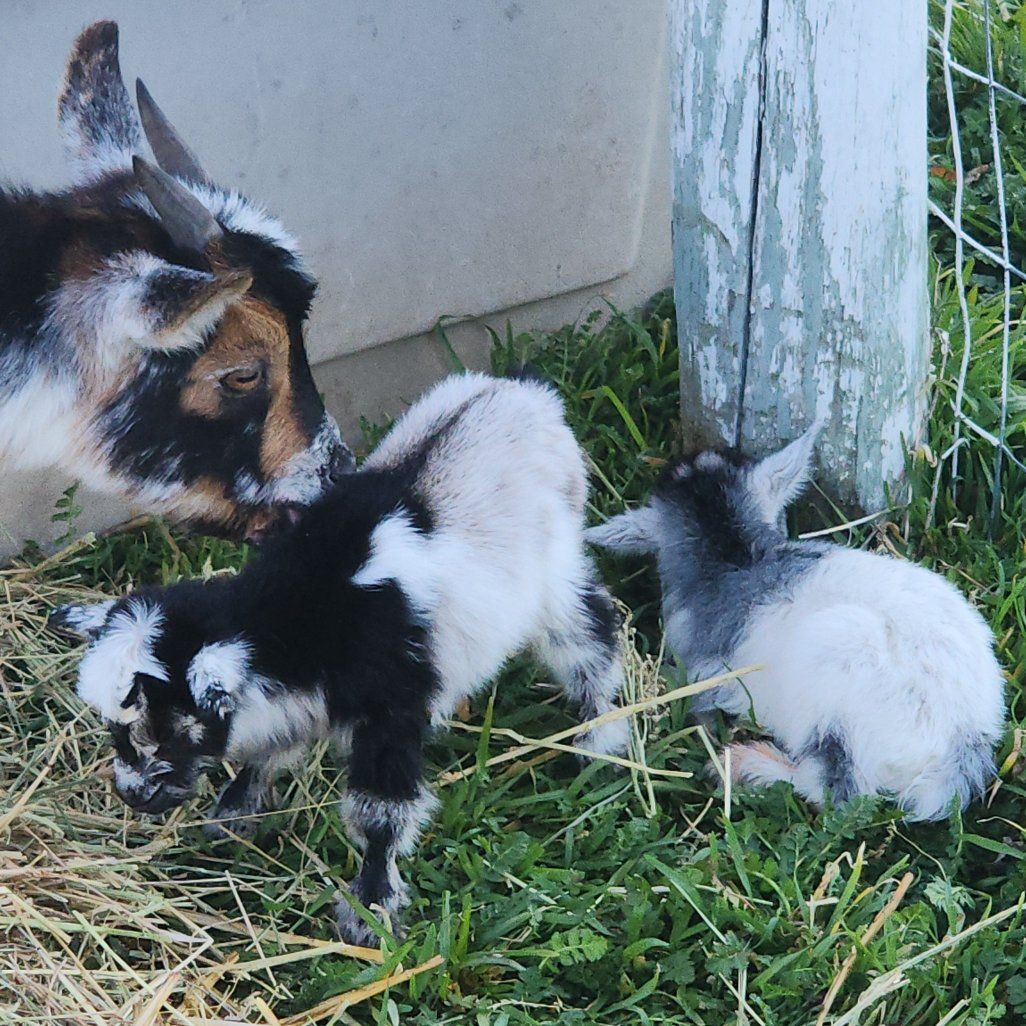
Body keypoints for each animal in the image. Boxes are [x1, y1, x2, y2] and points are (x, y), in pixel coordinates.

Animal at [55, 372, 628, 943]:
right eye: (115, 729)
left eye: (170, 731)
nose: (131, 795)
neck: (301, 616)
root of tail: (521, 391)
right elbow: (271, 746)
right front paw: (234, 813)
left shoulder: (393, 705)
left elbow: (380, 813)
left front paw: (371, 907)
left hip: (555, 575)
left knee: (589, 637)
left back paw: (601, 737)